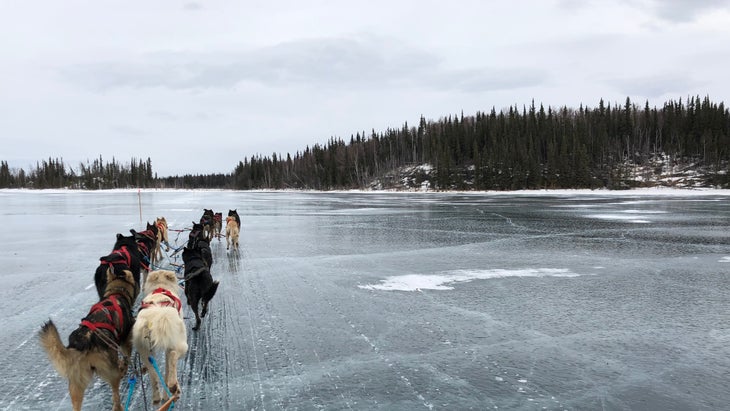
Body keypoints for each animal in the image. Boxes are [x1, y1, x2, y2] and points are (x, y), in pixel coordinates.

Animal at [132, 270, 186, 406]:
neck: (160, 287)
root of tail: (155, 316)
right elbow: (167, 371)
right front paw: (168, 395)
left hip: (145, 353)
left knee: (154, 376)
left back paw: (157, 397)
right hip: (181, 344)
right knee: (173, 356)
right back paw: (173, 388)